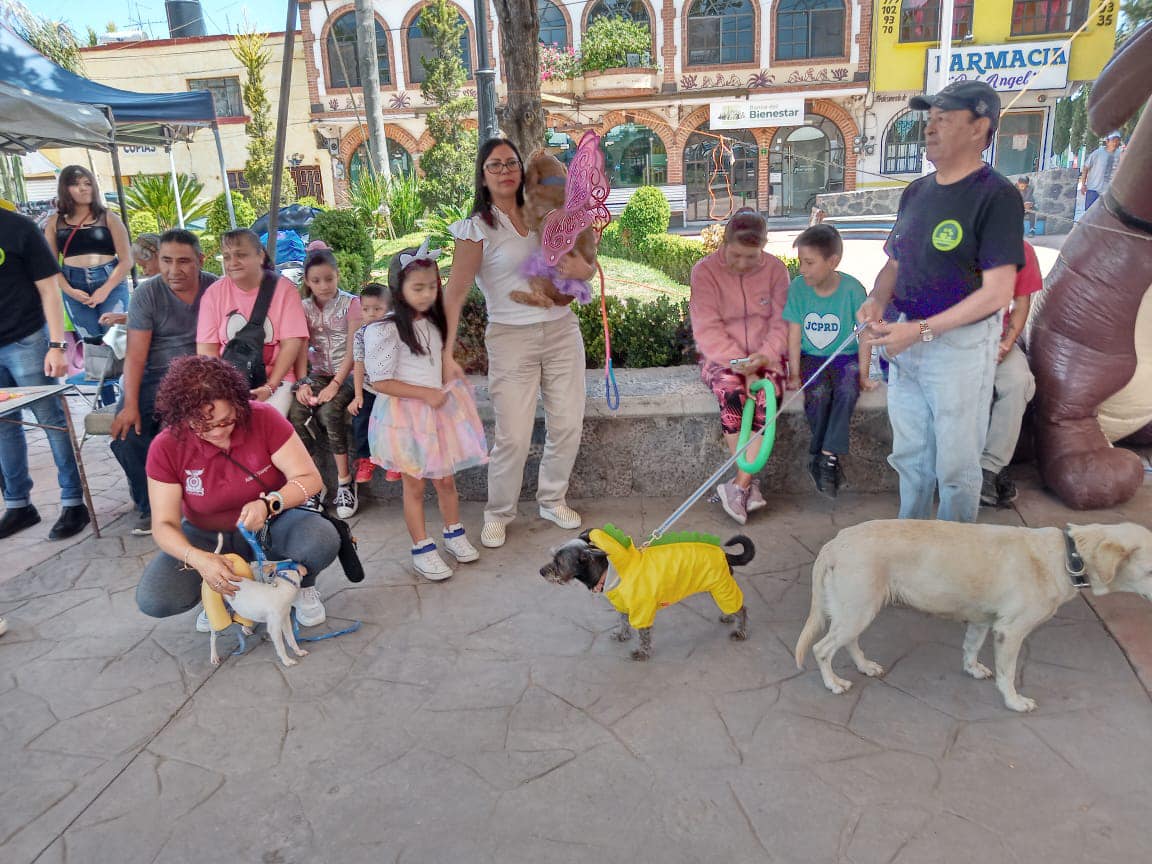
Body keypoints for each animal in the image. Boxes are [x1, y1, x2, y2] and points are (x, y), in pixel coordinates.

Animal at [797, 520, 1152, 709]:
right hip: (857, 610)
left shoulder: (983, 621)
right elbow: (1009, 673)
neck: (1068, 555)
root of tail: (835, 541)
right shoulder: (1011, 631)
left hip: (857, 609)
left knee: (849, 642)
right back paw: (833, 683)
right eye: (1151, 569)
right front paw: (1014, 701)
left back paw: (865, 666)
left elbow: (970, 649)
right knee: (822, 649)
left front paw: (973, 669)